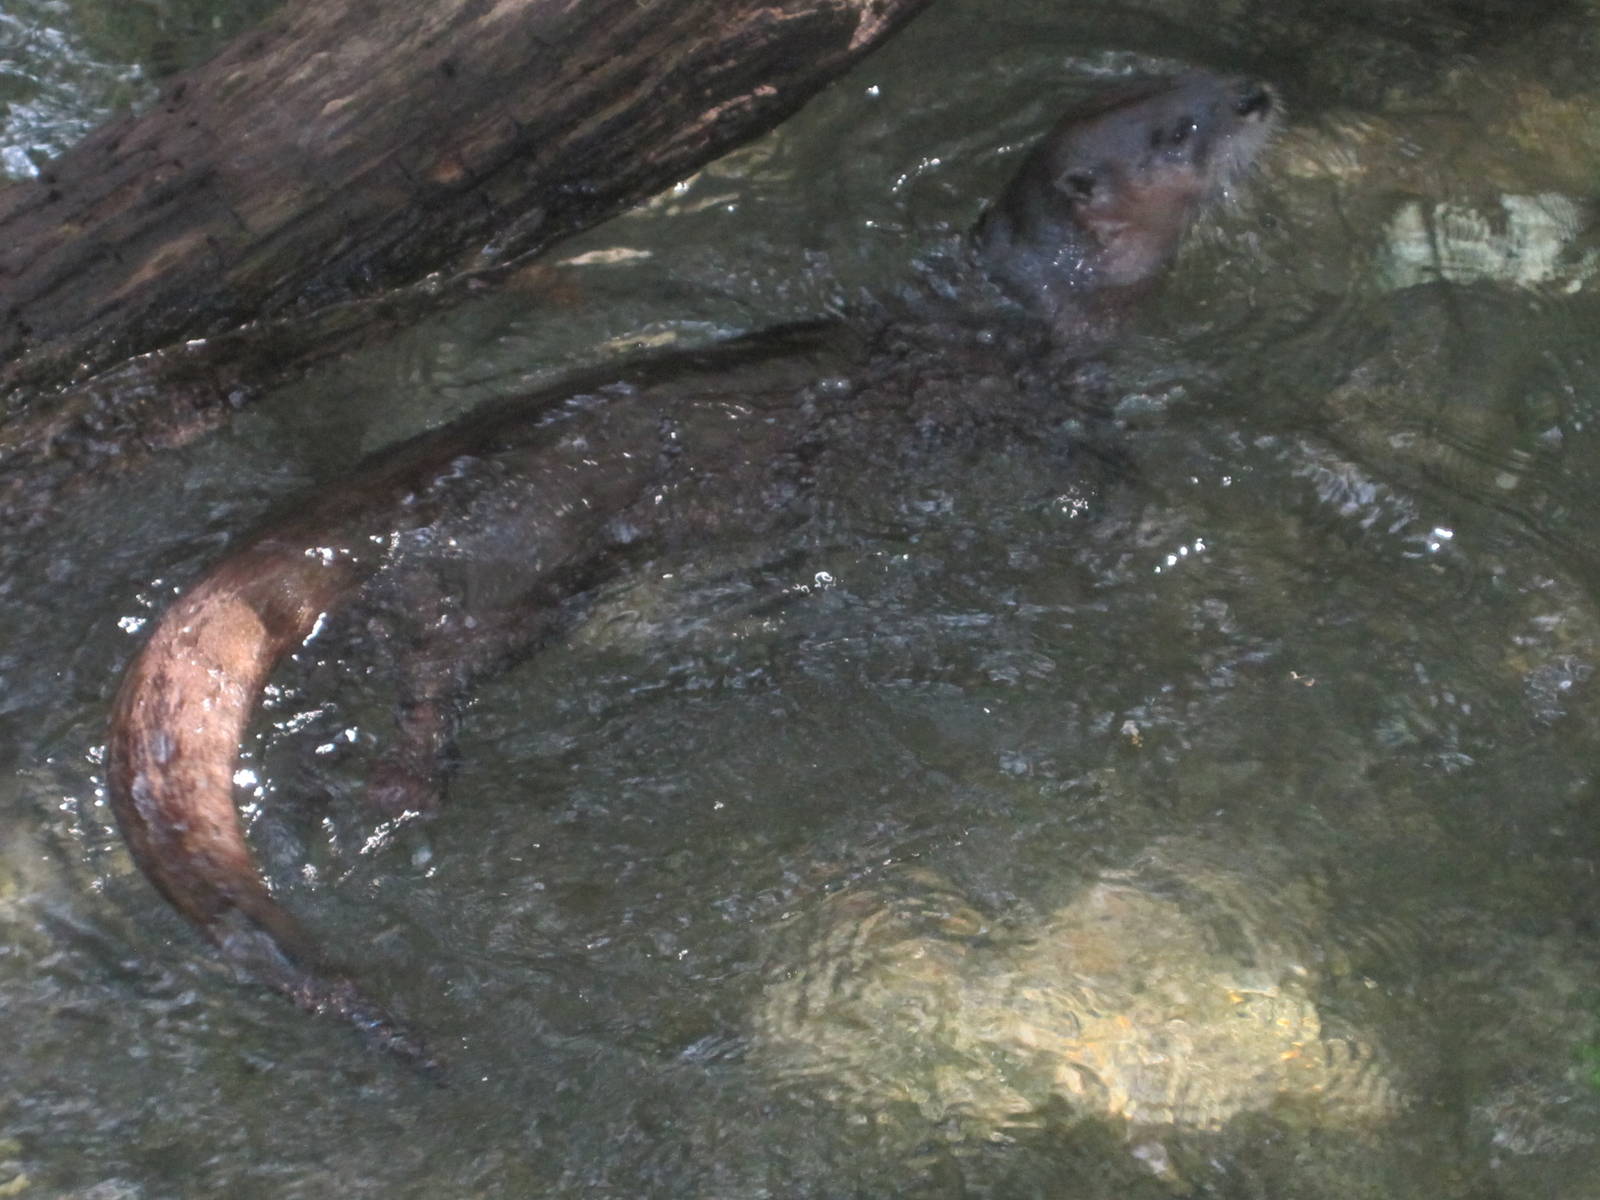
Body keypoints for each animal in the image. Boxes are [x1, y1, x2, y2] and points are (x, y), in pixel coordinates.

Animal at [106, 72, 1277, 1065]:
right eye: (1180, 130)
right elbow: (1100, 464)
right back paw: (406, 783)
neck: (1035, 303)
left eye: (1193, 80)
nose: (1258, 97)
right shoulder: (1046, 393)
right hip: (521, 579)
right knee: (436, 664)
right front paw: (1131, 522)